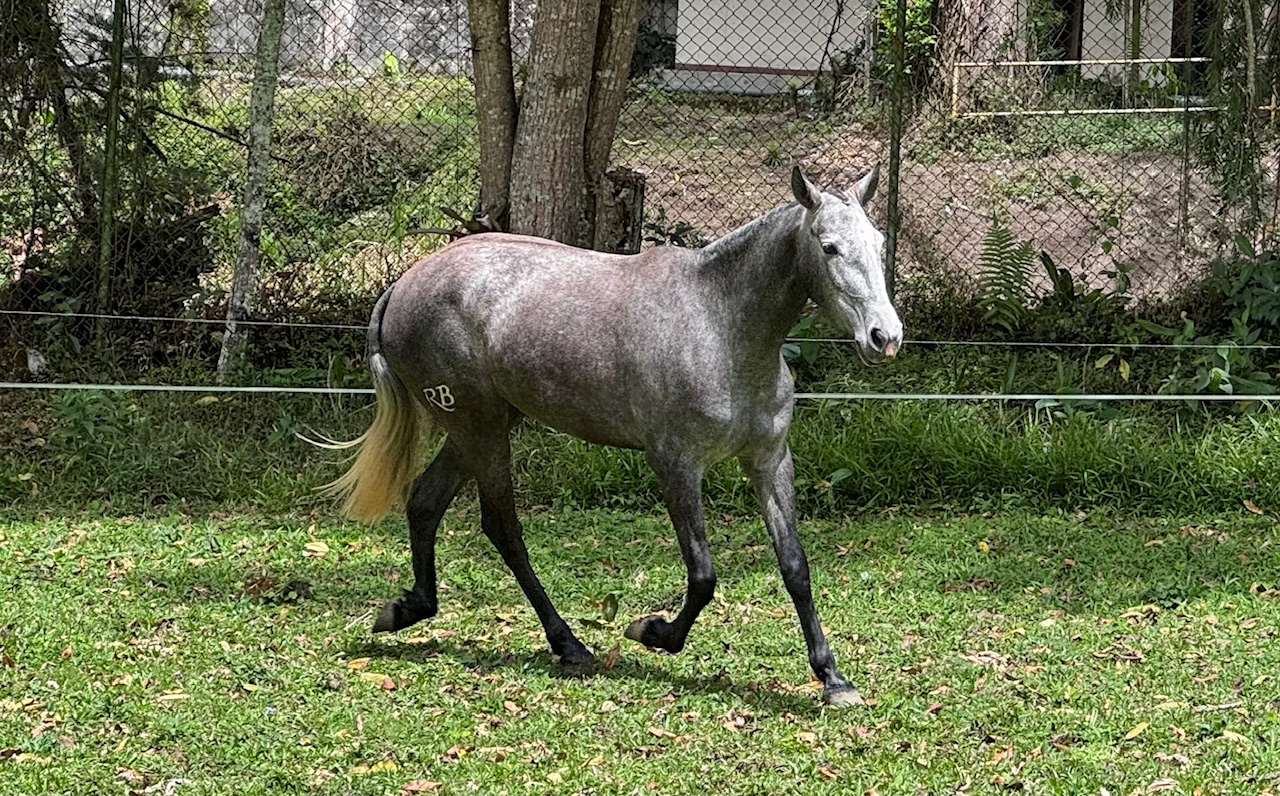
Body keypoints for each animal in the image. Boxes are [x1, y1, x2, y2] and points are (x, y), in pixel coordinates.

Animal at [319, 166, 902, 706]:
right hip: (479, 428)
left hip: (481, 427)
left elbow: (795, 567)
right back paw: (568, 645)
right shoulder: (675, 464)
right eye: (829, 247)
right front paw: (654, 632)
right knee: (502, 527)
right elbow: (703, 574)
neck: (719, 326)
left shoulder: (769, 461)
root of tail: (404, 284)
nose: (886, 338)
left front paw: (833, 679)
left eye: (877, 243)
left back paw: (406, 610)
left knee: (425, 501)